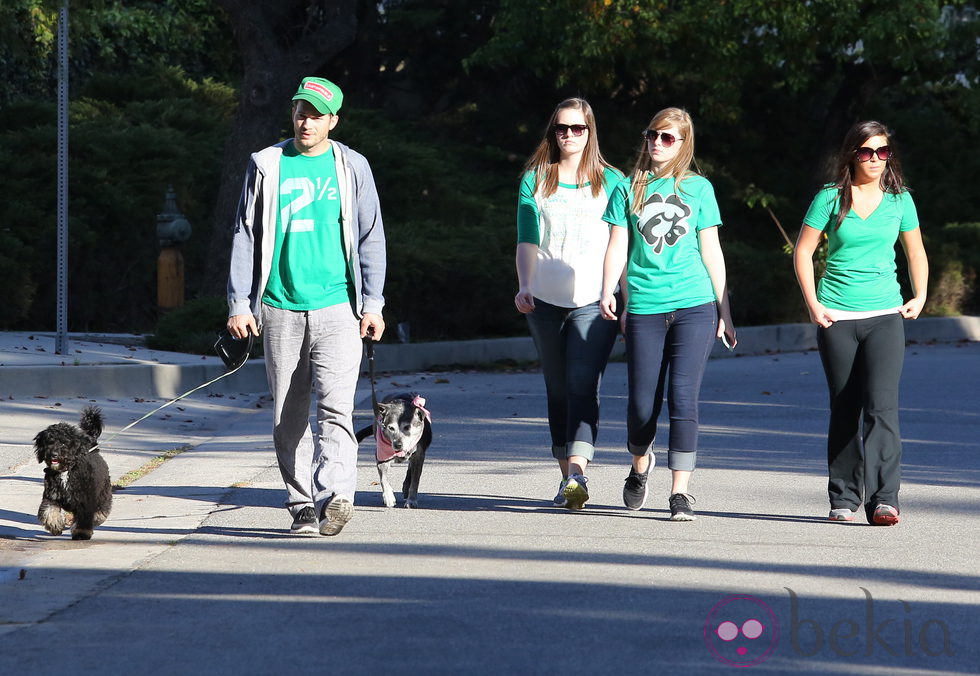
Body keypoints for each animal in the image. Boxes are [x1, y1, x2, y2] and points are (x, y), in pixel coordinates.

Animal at [33, 406, 113, 540]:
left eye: (63, 442)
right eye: (49, 442)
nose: (54, 454)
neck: (66, 472)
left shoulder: (85, 501)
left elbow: (84, 519)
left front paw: (81, 533)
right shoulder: (51, 496)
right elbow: (49, 510)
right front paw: (55, 526)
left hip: (103, 493)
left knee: (102, 509)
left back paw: (97, 518)